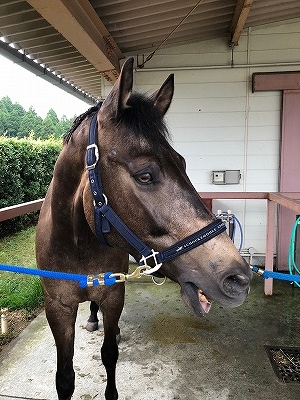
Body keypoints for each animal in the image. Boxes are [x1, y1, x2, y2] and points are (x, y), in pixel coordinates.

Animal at [34, 57, 251, 400]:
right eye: (145, 175)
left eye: (182, 163)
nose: (238, 278)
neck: (77, 243)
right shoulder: (57, 308)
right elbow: (65, 377)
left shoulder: (114, 295)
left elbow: (109, 354)